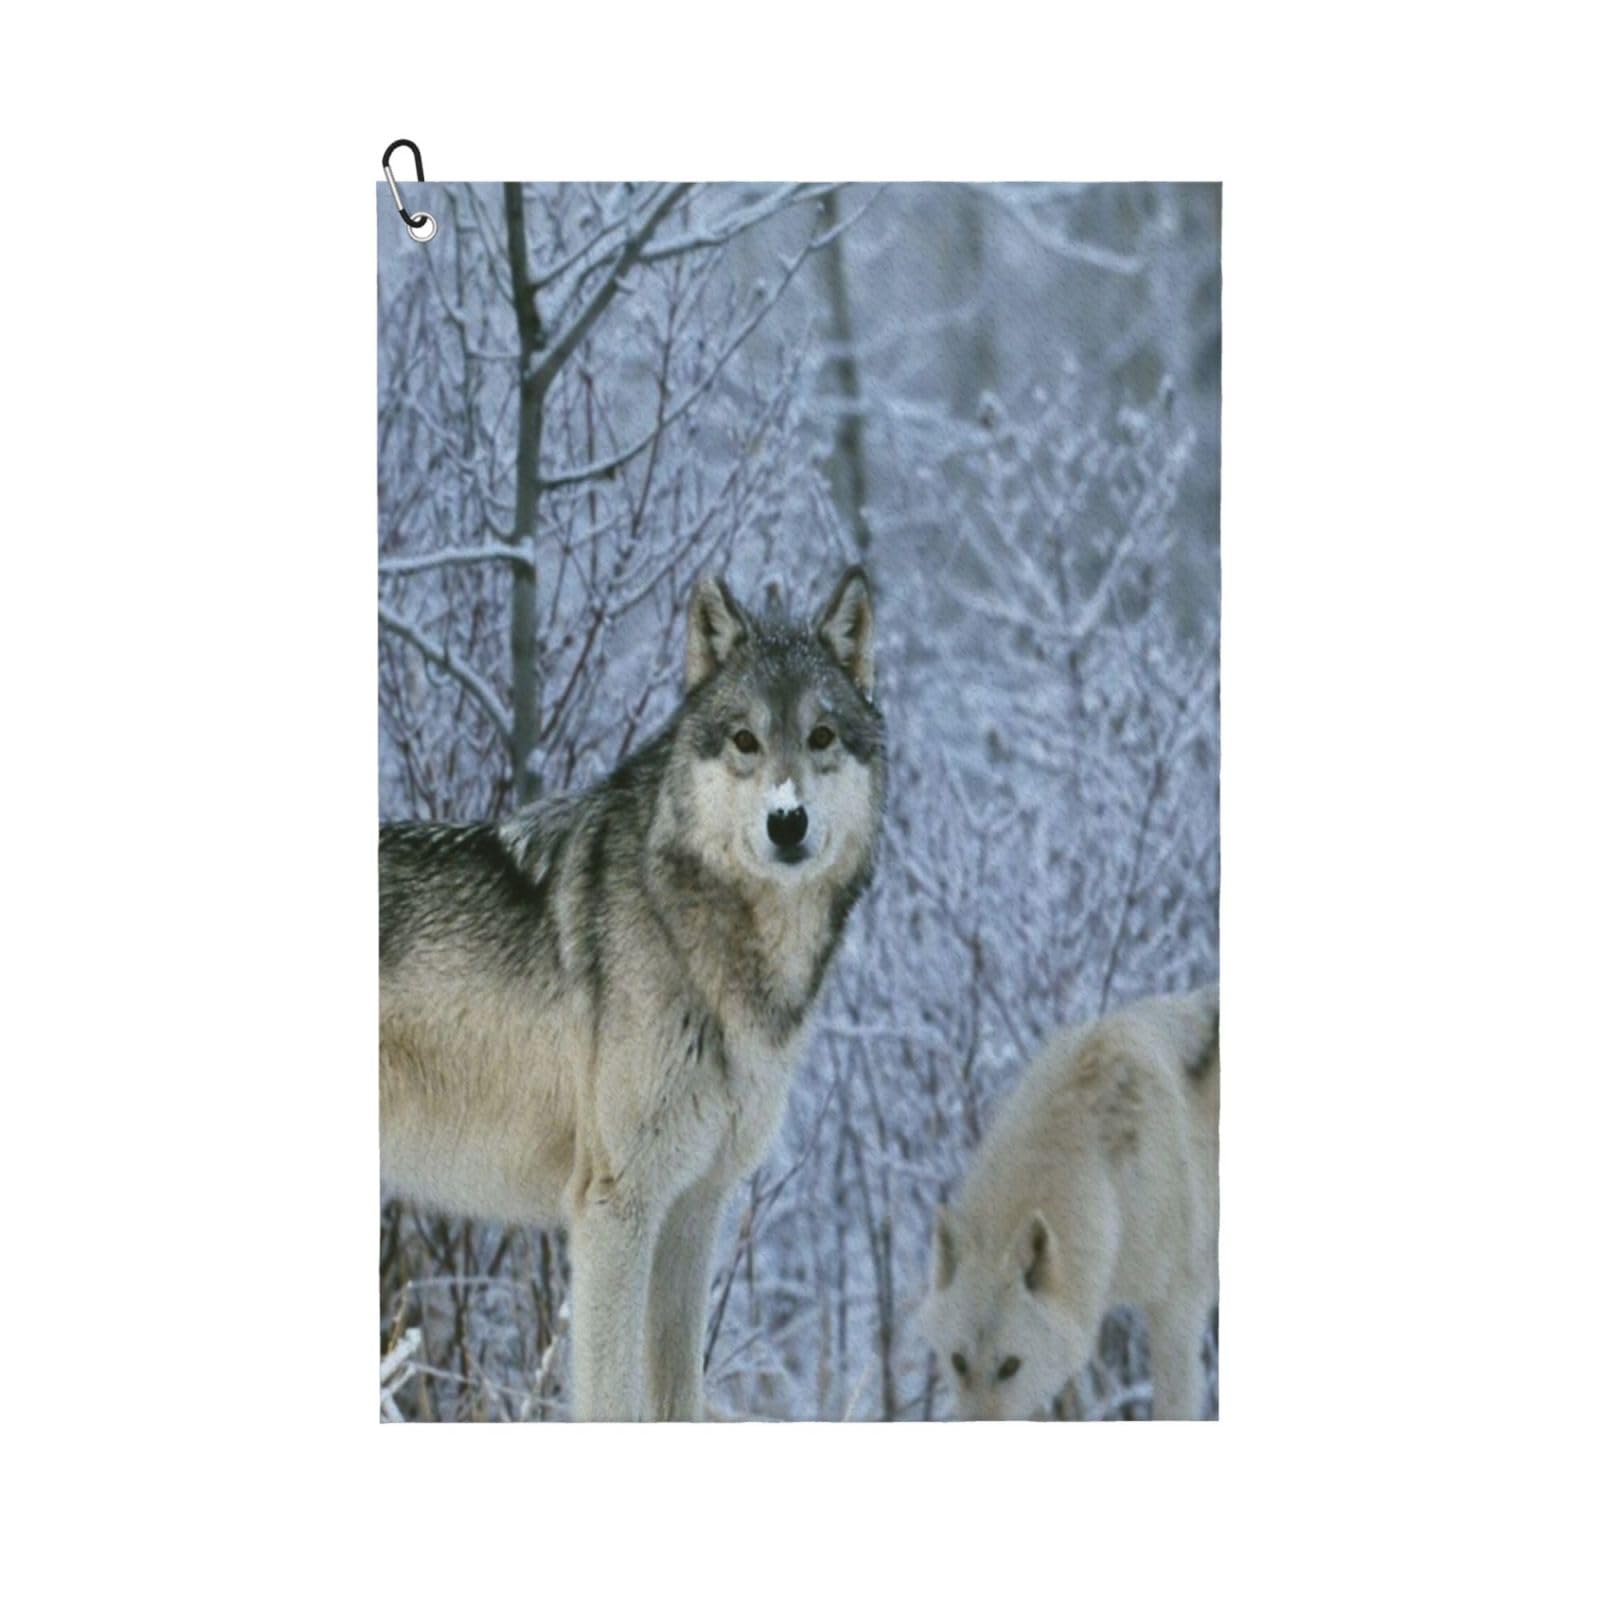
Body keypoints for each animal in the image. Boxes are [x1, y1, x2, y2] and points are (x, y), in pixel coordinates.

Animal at [380, 568, 885, 1421]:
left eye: (821, 737)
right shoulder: (616, 1209)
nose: (788, 821)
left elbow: (682, 1397)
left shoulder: (694, 1210)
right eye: (745, 740)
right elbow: (614, 1403)